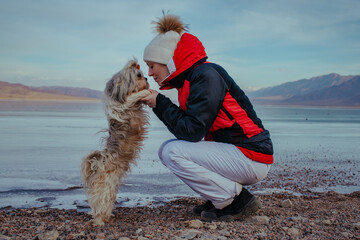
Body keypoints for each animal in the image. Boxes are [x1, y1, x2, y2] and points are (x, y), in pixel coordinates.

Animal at [81, 59, 150, 225]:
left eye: (143, 74)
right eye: (139, 75)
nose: (147, 79)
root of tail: (96, 165)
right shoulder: (123, 105)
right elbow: (133, 97)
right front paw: (146, 92)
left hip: (110, 189)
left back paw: (106, 215)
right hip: (105, 188)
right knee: (99, 205)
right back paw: (99, 221)